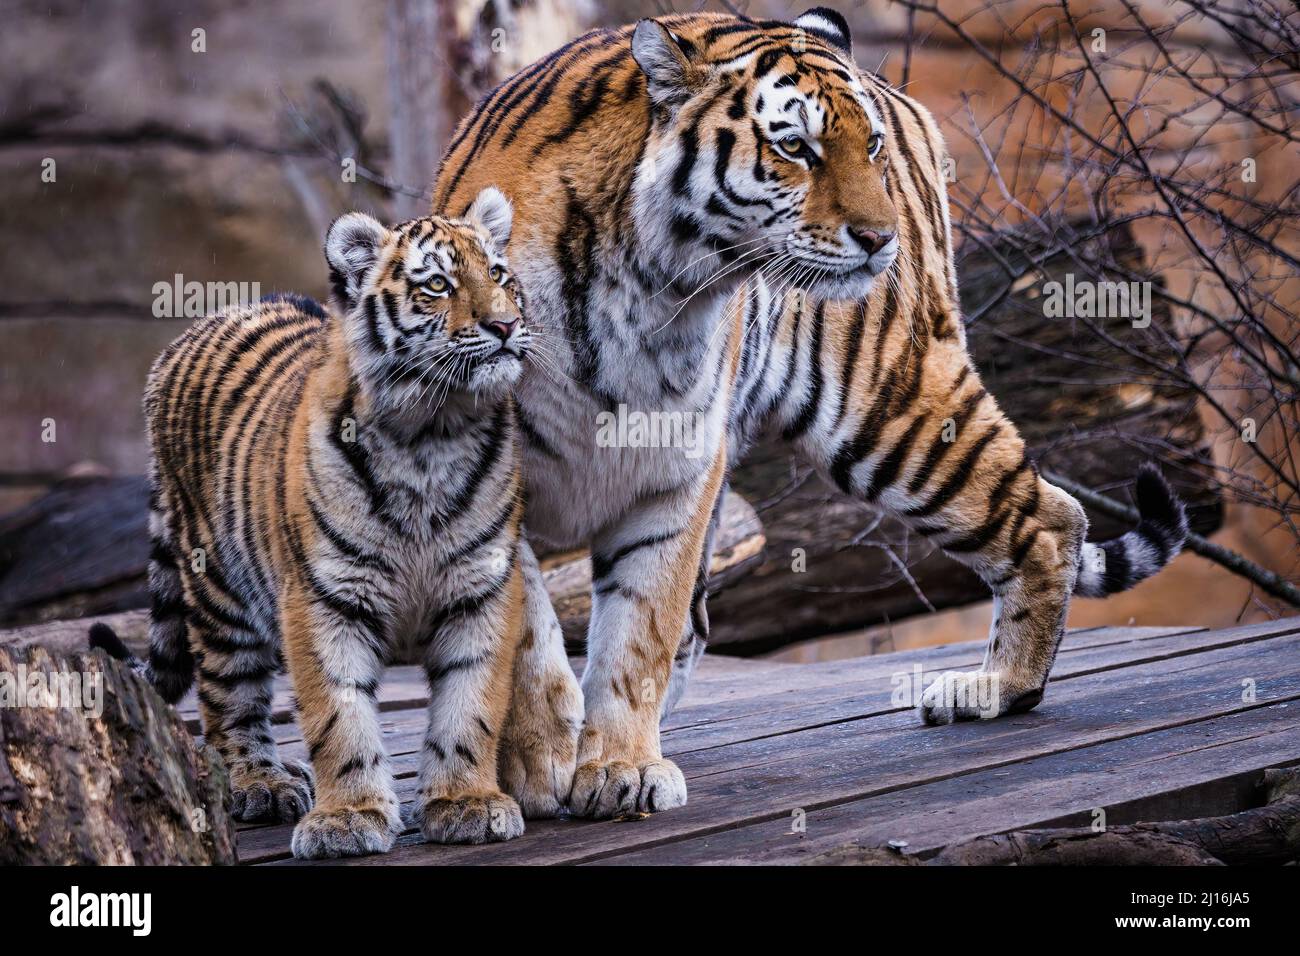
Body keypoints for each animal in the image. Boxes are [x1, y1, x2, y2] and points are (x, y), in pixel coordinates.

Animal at [436, 7, 1190, 816]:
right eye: (794, 147)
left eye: (869, 146)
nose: (880, 240)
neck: (646, 289)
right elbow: (527, 632)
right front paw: (549, 753)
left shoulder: (676, 465)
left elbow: (642, 626)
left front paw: (619, 769)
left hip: (889, 411)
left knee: (1050, 518)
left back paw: (996, 688)